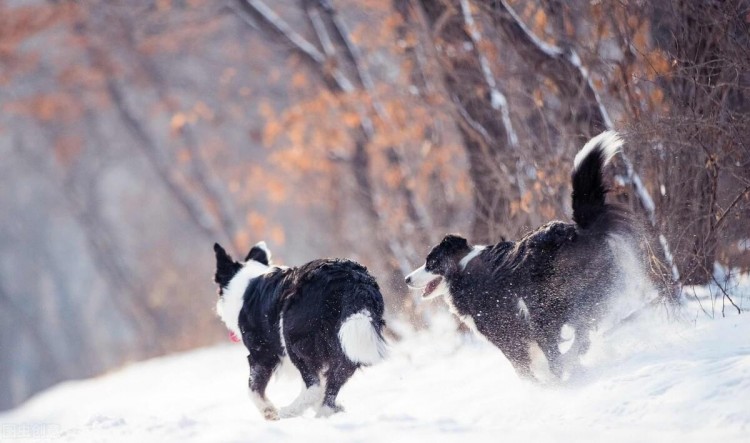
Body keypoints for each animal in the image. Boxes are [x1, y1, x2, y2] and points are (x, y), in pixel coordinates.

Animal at [213, 243, 384, 420]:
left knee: (314, 387)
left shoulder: (262, 354)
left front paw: (269, 411)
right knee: (333, 380)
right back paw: (324, 413)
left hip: (292, 337)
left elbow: (253, 389)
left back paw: (289, 411)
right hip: (347, 343)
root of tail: (352, 278)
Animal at [408, 131, 636, 382]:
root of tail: (577, 231)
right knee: (582, 334)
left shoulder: (504, 333)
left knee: (561, 346)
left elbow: (523, 367)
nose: (407, 279)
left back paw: (561, 372)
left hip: (541, 307)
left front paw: (537, 384)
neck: (459, 269)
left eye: (430, 263)